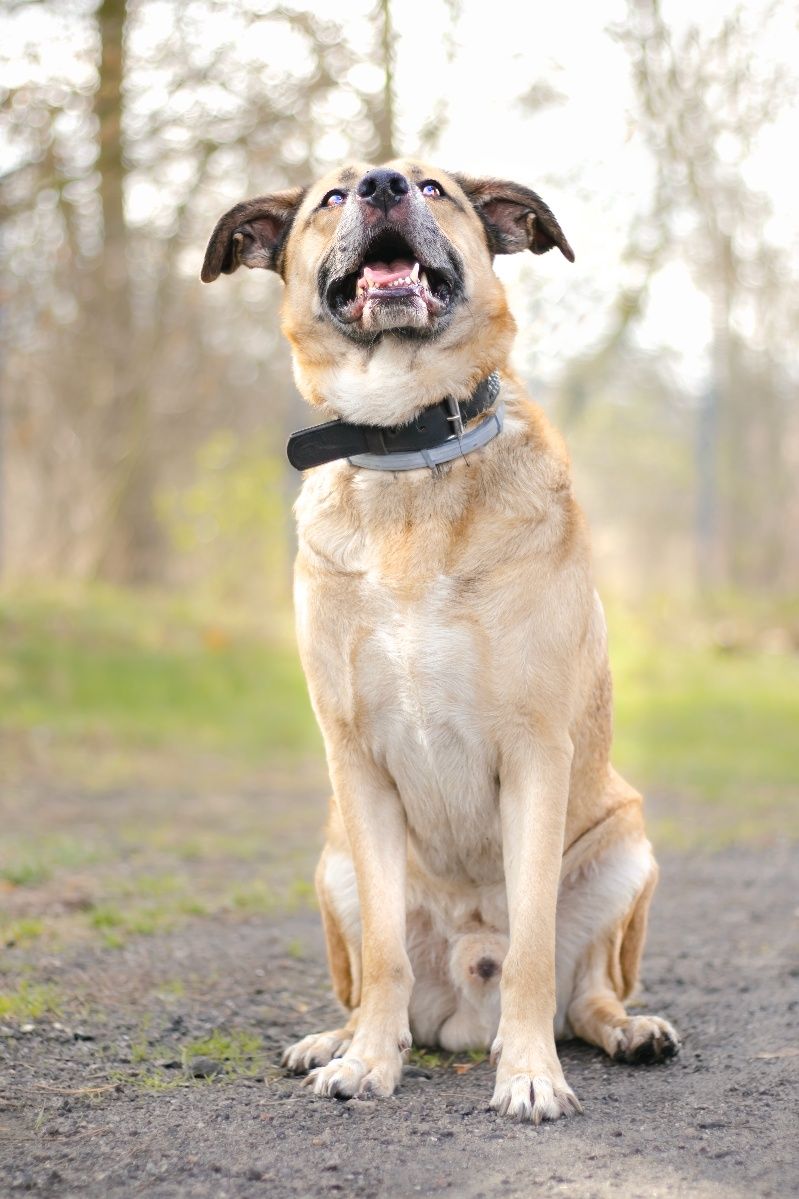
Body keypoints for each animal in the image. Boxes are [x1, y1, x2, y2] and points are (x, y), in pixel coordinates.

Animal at [200, 161, 676, 1122]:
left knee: (589, 991)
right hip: (335, 860)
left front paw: (529, 1072)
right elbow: (384, 954)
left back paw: (625, 1032)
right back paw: (339, 1038)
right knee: (371, 982)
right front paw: (366, 1064)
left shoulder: (534, 753)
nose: (384, 185)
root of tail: (461, 1003)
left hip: (624, 849)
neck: (406, 449)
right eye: (332, 197)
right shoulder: (356, 762)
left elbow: (531, 949)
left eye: (432, 188)